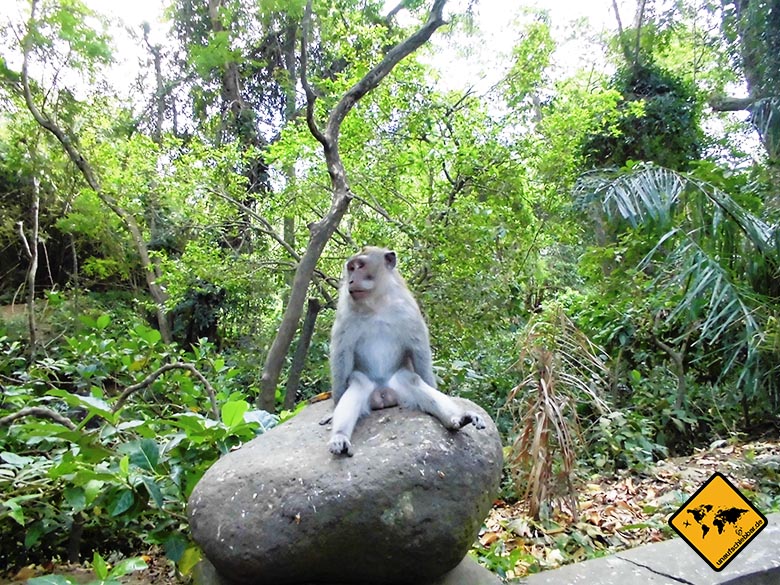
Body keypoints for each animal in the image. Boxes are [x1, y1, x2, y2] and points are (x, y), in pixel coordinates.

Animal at [322, 244, 482, 454]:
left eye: (361, 266)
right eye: (351, 268)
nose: (351, 280)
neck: (377, 304)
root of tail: (383, 394)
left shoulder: (408, 309)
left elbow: (419, 349)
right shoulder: (345, 312)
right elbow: (342, 354)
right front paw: (333, 411)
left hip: (400, 386)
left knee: (412, 380)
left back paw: (458, 419)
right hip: (368, 388)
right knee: (357, 385)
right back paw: (340, 436)